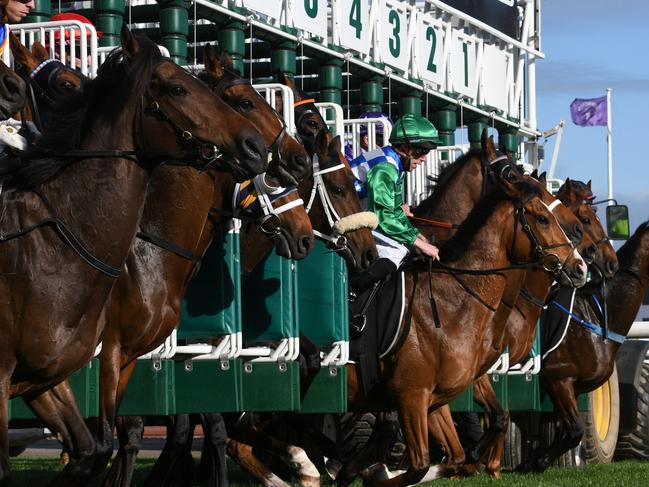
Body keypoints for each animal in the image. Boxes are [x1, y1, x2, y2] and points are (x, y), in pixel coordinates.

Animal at [0, 27, 268, 487]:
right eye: (177, 88)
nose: (256, 145)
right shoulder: (106, 353)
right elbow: (120, 435)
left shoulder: (60, 370)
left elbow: (102, 447)